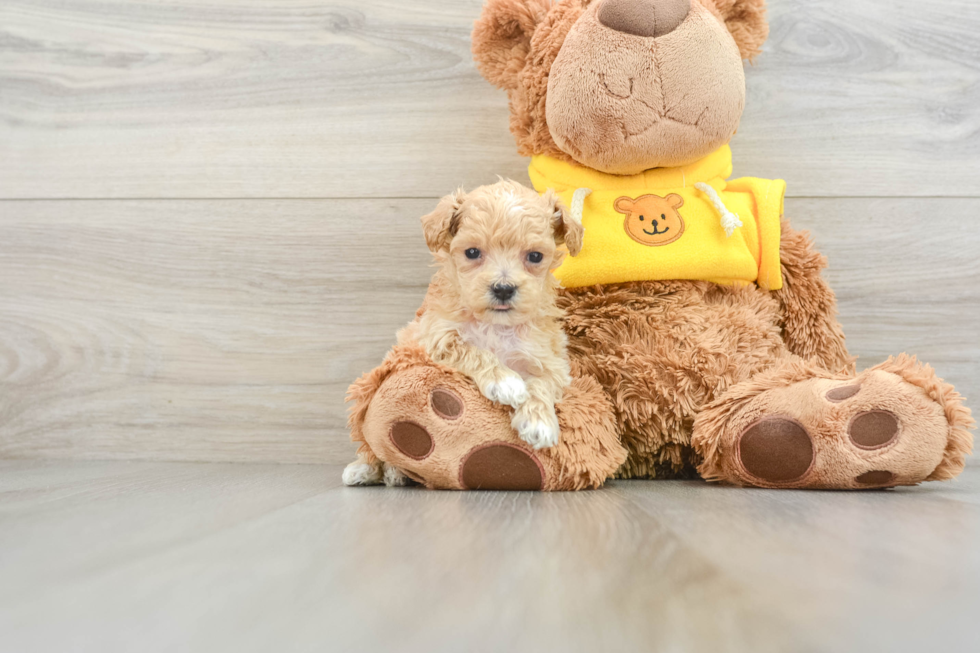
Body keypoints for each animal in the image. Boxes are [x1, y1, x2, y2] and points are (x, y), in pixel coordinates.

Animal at [344, 178, 580, 484]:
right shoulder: (435, 338)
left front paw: (540, 422)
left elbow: (544, 384)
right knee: (370, 444)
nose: (503, 289)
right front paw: (505, 381)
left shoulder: (550, 359)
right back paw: (368, 469)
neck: (496, 326)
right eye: (472, 252)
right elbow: (472, 350)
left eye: (535, 256)